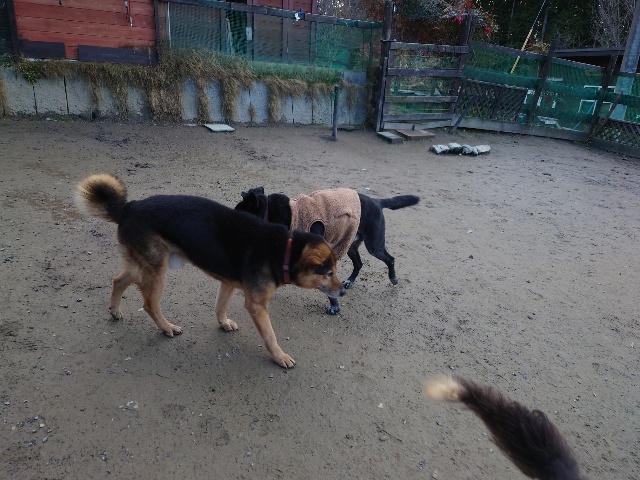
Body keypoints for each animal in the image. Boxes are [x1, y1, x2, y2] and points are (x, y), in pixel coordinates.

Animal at [75, 173, 346, 368]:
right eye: (328, 273)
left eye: (335, 270)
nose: (342, 291)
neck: (285, 251)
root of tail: (129, 207)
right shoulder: (257, 305)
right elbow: (270, 335)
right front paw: (279, 357)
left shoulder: (228, 283)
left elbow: (220, 306)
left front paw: (223, 323)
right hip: (156, 270)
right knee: (150, 304)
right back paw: (167, 328)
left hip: (142, 265)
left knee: (118, 280)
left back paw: (115, 310)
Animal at [235, 187, 419, 314]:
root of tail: (377, 202)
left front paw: (334, 306)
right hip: (350, 244)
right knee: (359, 264)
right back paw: (350, 281)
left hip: (374, 245)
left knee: (390, 258)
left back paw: (393, 278)